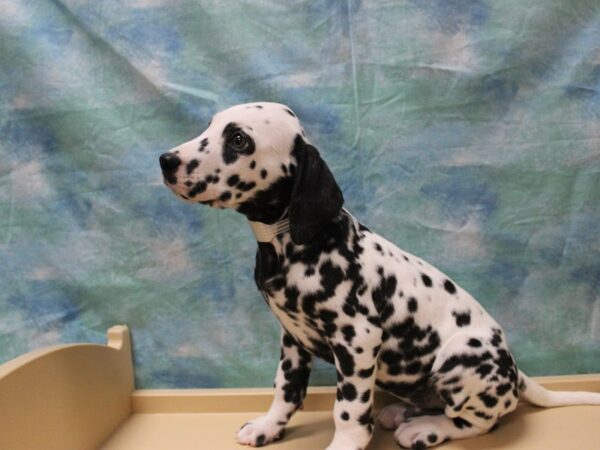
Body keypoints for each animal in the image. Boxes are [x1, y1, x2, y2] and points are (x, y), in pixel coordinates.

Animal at [158, 103, 600, 450]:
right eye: (209, 127)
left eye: (238, 140)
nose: (166, 160)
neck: (294, 244)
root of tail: (516, 375)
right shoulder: (292, 340)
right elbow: (286, 390)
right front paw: (269, 427)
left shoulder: (357, 340)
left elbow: (348, 408)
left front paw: (345, 445)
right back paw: (402, 412)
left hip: (461, 360)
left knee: (478, 421)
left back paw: (424, 429)